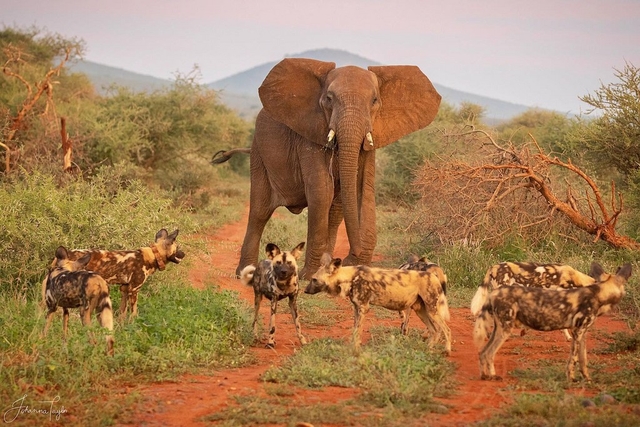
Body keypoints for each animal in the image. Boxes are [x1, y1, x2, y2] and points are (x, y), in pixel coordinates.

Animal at [42, 229, 184, 320]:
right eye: (178, 248)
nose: (184, 254)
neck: (153, 256)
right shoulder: (134, 290)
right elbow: (134, 312)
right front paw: (134, 323)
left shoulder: (125, 289)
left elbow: (122, 312)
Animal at [214, 58, 440, 280]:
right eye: (329, 99)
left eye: (375, 101)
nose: (350, 257)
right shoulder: (310, 134)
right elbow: (321, 191)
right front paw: (309, 275)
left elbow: (364, 190)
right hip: (259, 154)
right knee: (260, 212)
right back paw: (247, 273)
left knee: (335, 210)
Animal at [304, 254, 450, 354]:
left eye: (314, 279)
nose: (305, 290)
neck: (350, 278)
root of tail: (434, 276)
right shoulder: (357, 308)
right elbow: (355, 331)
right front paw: (353, 347)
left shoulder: (363, 308)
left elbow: (357, 331)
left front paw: (355, 350)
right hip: (420, 310)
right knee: (435, 330)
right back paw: (427, 349)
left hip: (431, 310)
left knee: (445, 329)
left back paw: (447, 351)